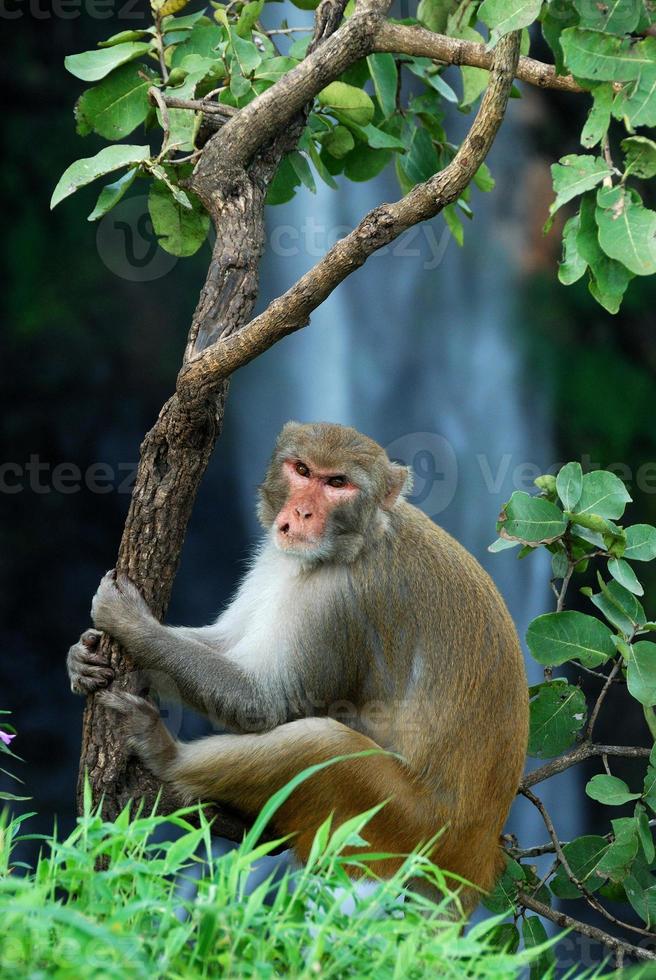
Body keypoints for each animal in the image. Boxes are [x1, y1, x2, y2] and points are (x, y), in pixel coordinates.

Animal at [68, 424, 528, 920]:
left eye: (338, 483)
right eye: (303, 470)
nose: (303, 512)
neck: (360, 537)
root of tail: (475, 856)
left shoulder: (339, 596)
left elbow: (265, 703)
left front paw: (131, 624)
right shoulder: (276, 557)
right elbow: (228, 645)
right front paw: (81, 657)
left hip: (403, 824)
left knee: (321, 745)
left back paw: (167, 756)